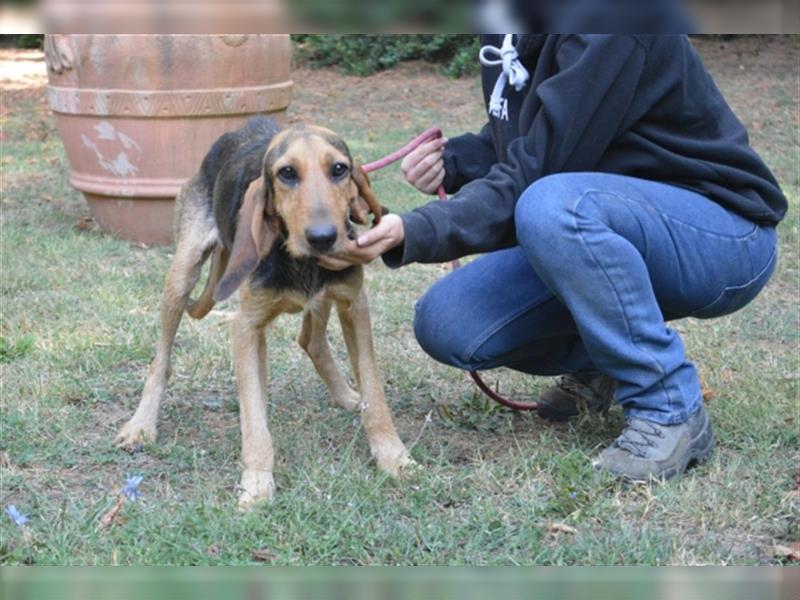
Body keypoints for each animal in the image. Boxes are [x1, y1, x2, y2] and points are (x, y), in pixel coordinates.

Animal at [115, 116, 416, 506]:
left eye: (339, 169)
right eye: (286, 173)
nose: (323, 237)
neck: (299, 261)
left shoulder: (354, 304)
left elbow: (375, 395)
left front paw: (393, 457)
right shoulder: (246, 327)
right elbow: (254, 419)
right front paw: (257, 482)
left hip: (324, 297)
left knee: (311, 341)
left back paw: (346, 395)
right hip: (182, 275)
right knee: (161, 360)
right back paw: (140, 425)